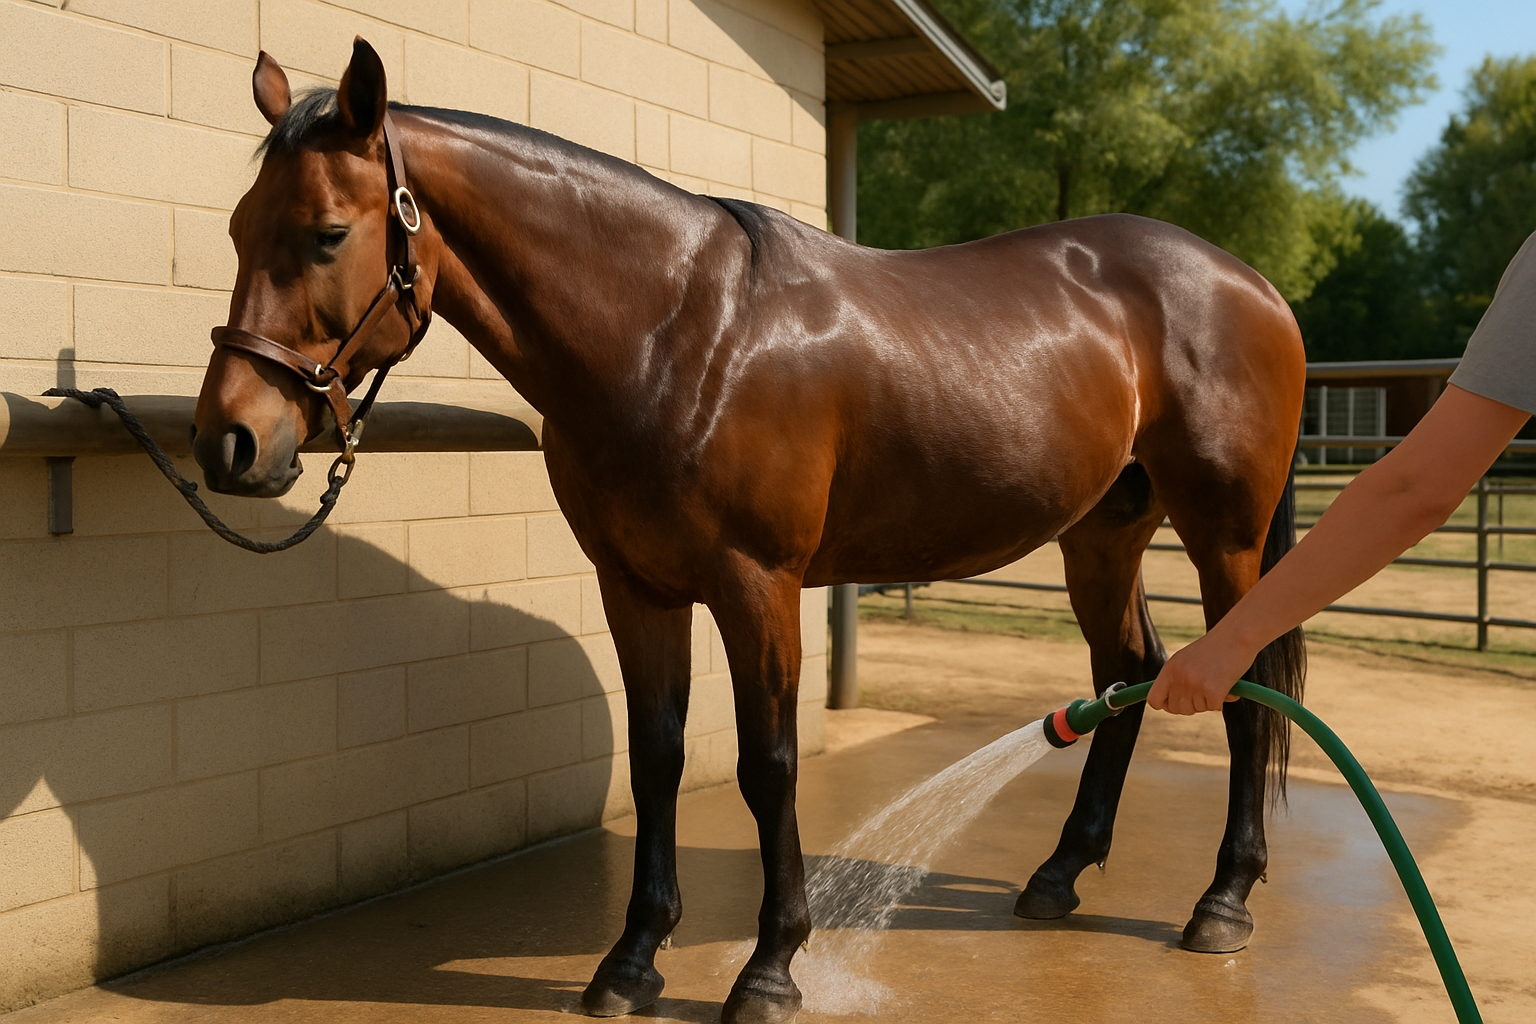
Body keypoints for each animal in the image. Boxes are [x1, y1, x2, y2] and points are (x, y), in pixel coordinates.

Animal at [191, 38, 1306, 1024]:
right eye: (240, 226)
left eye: (327, 233)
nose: (228, 442)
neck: (676, 331)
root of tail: (1252, 285)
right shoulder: (636, 586)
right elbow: (657, 755)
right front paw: (631, 960)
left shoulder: (756, 583)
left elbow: (770, 764)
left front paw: (770, 968)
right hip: (1102, 532)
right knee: (1129, 669)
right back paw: (1061, 873)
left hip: (1225, 534)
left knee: (1245, 696)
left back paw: (1222, 903)